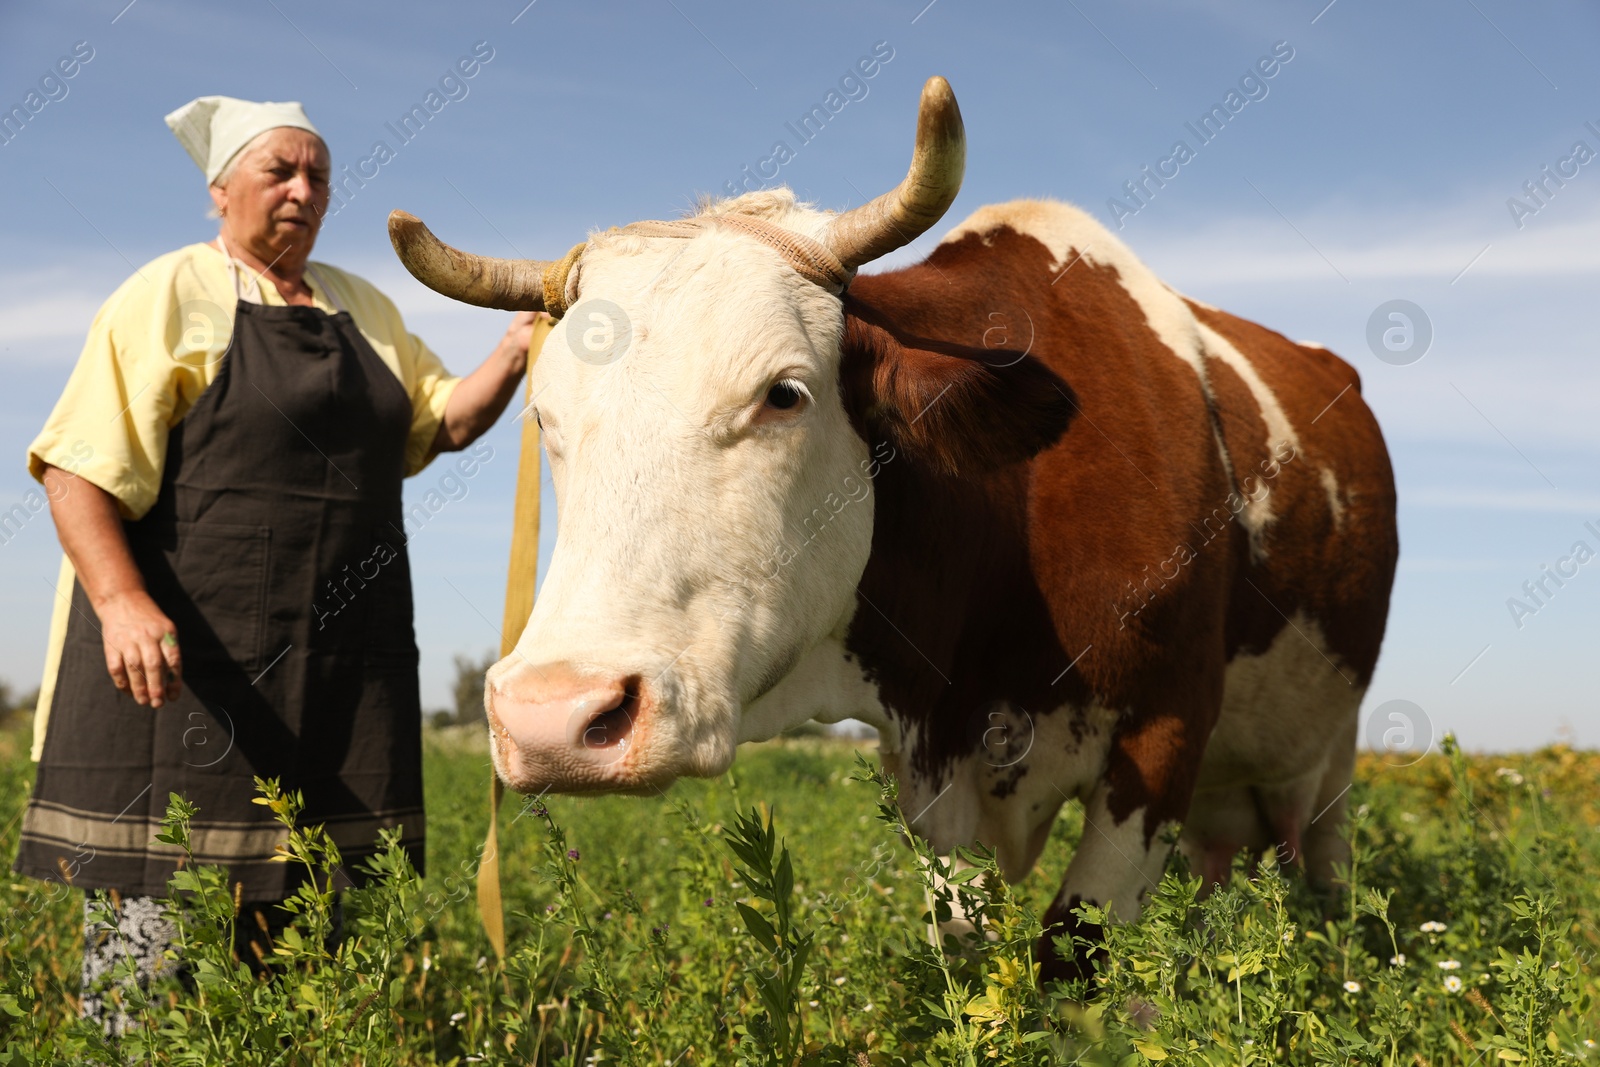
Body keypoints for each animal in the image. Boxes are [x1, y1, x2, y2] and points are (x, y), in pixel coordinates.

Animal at [393, 77, 1395, 985]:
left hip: (1334, 755)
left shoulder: (1165, 730)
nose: (553, 715)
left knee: (1326, 871)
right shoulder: (935, 767)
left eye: (783, 393)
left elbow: (1074, 963)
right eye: (545, 421)